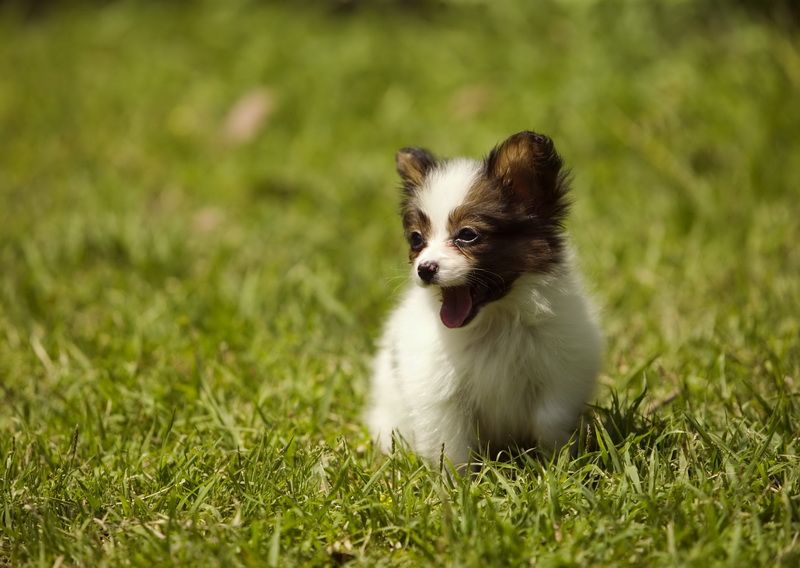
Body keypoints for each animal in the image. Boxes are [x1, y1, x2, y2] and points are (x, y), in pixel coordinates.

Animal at [366, 131, 604, 468]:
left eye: (467, 235)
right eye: (416, 239)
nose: (425, 269)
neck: (494, 321)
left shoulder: (560, 375)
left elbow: (550, 421)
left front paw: (556, 466)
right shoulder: (440, 396)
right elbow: (452, 447)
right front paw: (457, 481)